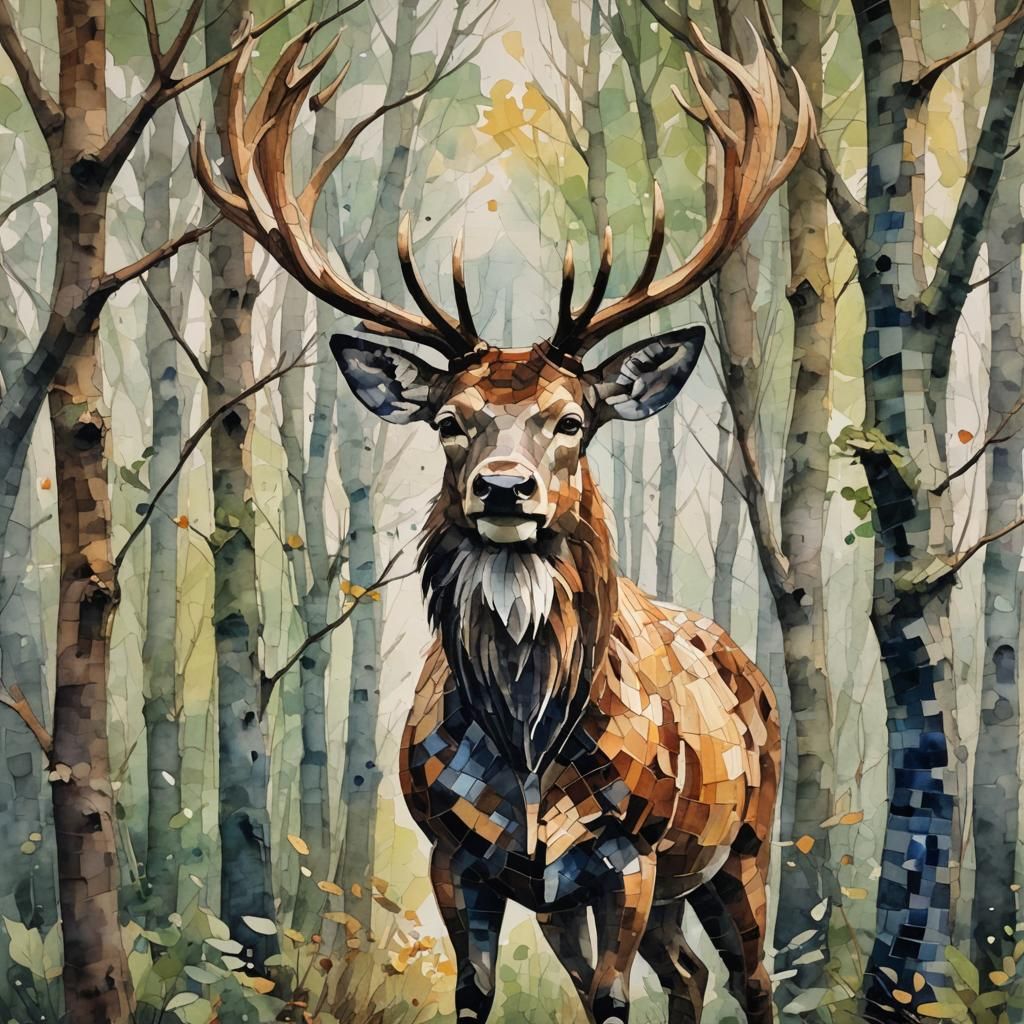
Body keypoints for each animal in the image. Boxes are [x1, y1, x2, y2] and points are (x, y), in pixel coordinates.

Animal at [193, 16, 811, 1024]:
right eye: (451, 420)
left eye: (572, 420)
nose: (505, 488)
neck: (526, 743)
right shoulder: (461, 859)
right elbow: (481, 993)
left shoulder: (627, 857)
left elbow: (611, 999)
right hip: (595, 899)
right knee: (689, 973)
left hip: (743, 846)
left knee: (751, 979)